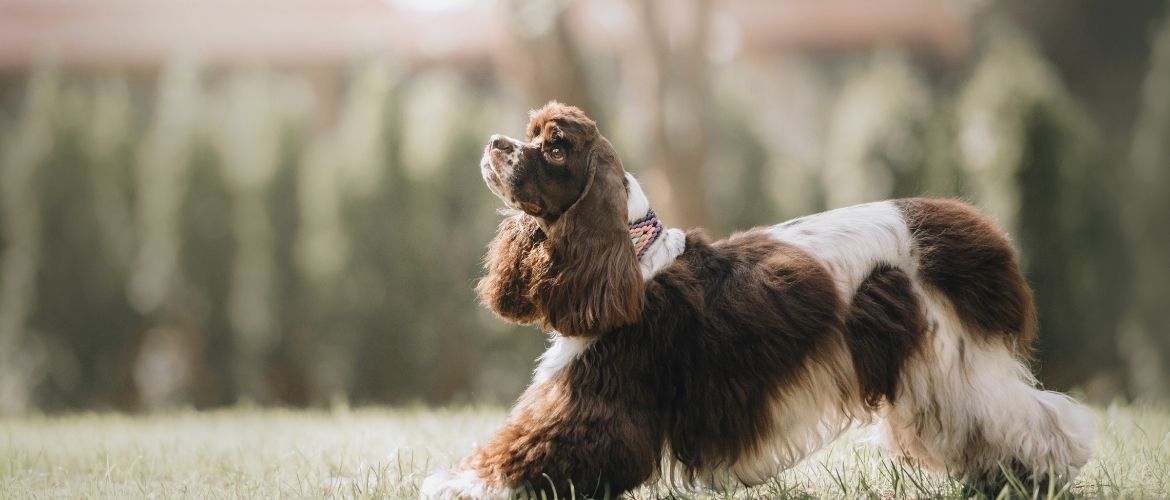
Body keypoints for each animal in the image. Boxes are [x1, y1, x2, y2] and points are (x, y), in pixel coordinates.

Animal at [423, 100, 1095, 496]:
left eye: (556, 146)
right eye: (530, 132)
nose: (495, 143)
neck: (630, 260)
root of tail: (971, 226)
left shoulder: (598, 405)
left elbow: (523, 453)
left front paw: (451, 486)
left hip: (953, 363)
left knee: (1035, 420)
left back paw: (1038, 477)